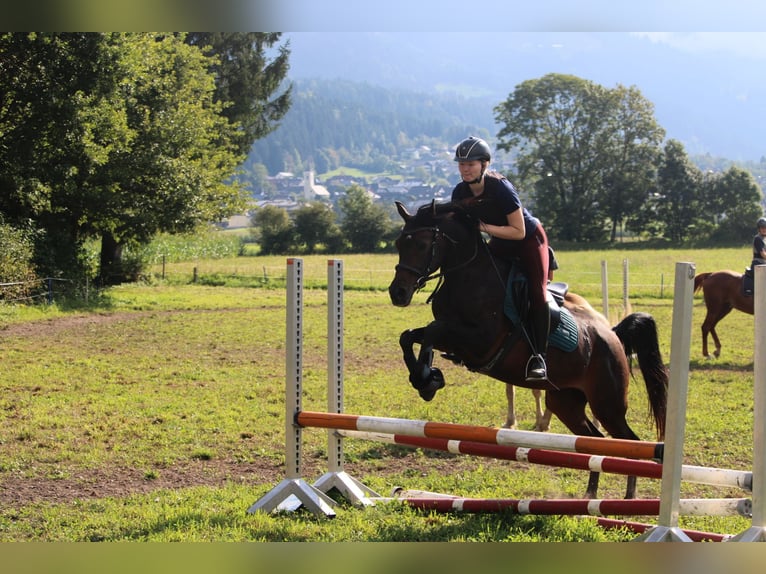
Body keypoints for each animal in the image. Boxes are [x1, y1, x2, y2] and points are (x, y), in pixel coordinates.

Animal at [388, 200, 668, 499]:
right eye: (398, 243)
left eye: (421, 244)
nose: (398, 293)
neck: (469, 276)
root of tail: (612, 335)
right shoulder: (454, 338)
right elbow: (409, 337)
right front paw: (426, 379)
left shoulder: (480, 340)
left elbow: (431, 331)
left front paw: (428, 379)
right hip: (566, 402)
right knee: (595, 442)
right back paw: (590, 495)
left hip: (607, 403)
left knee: (630, 442)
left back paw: (629, 496)